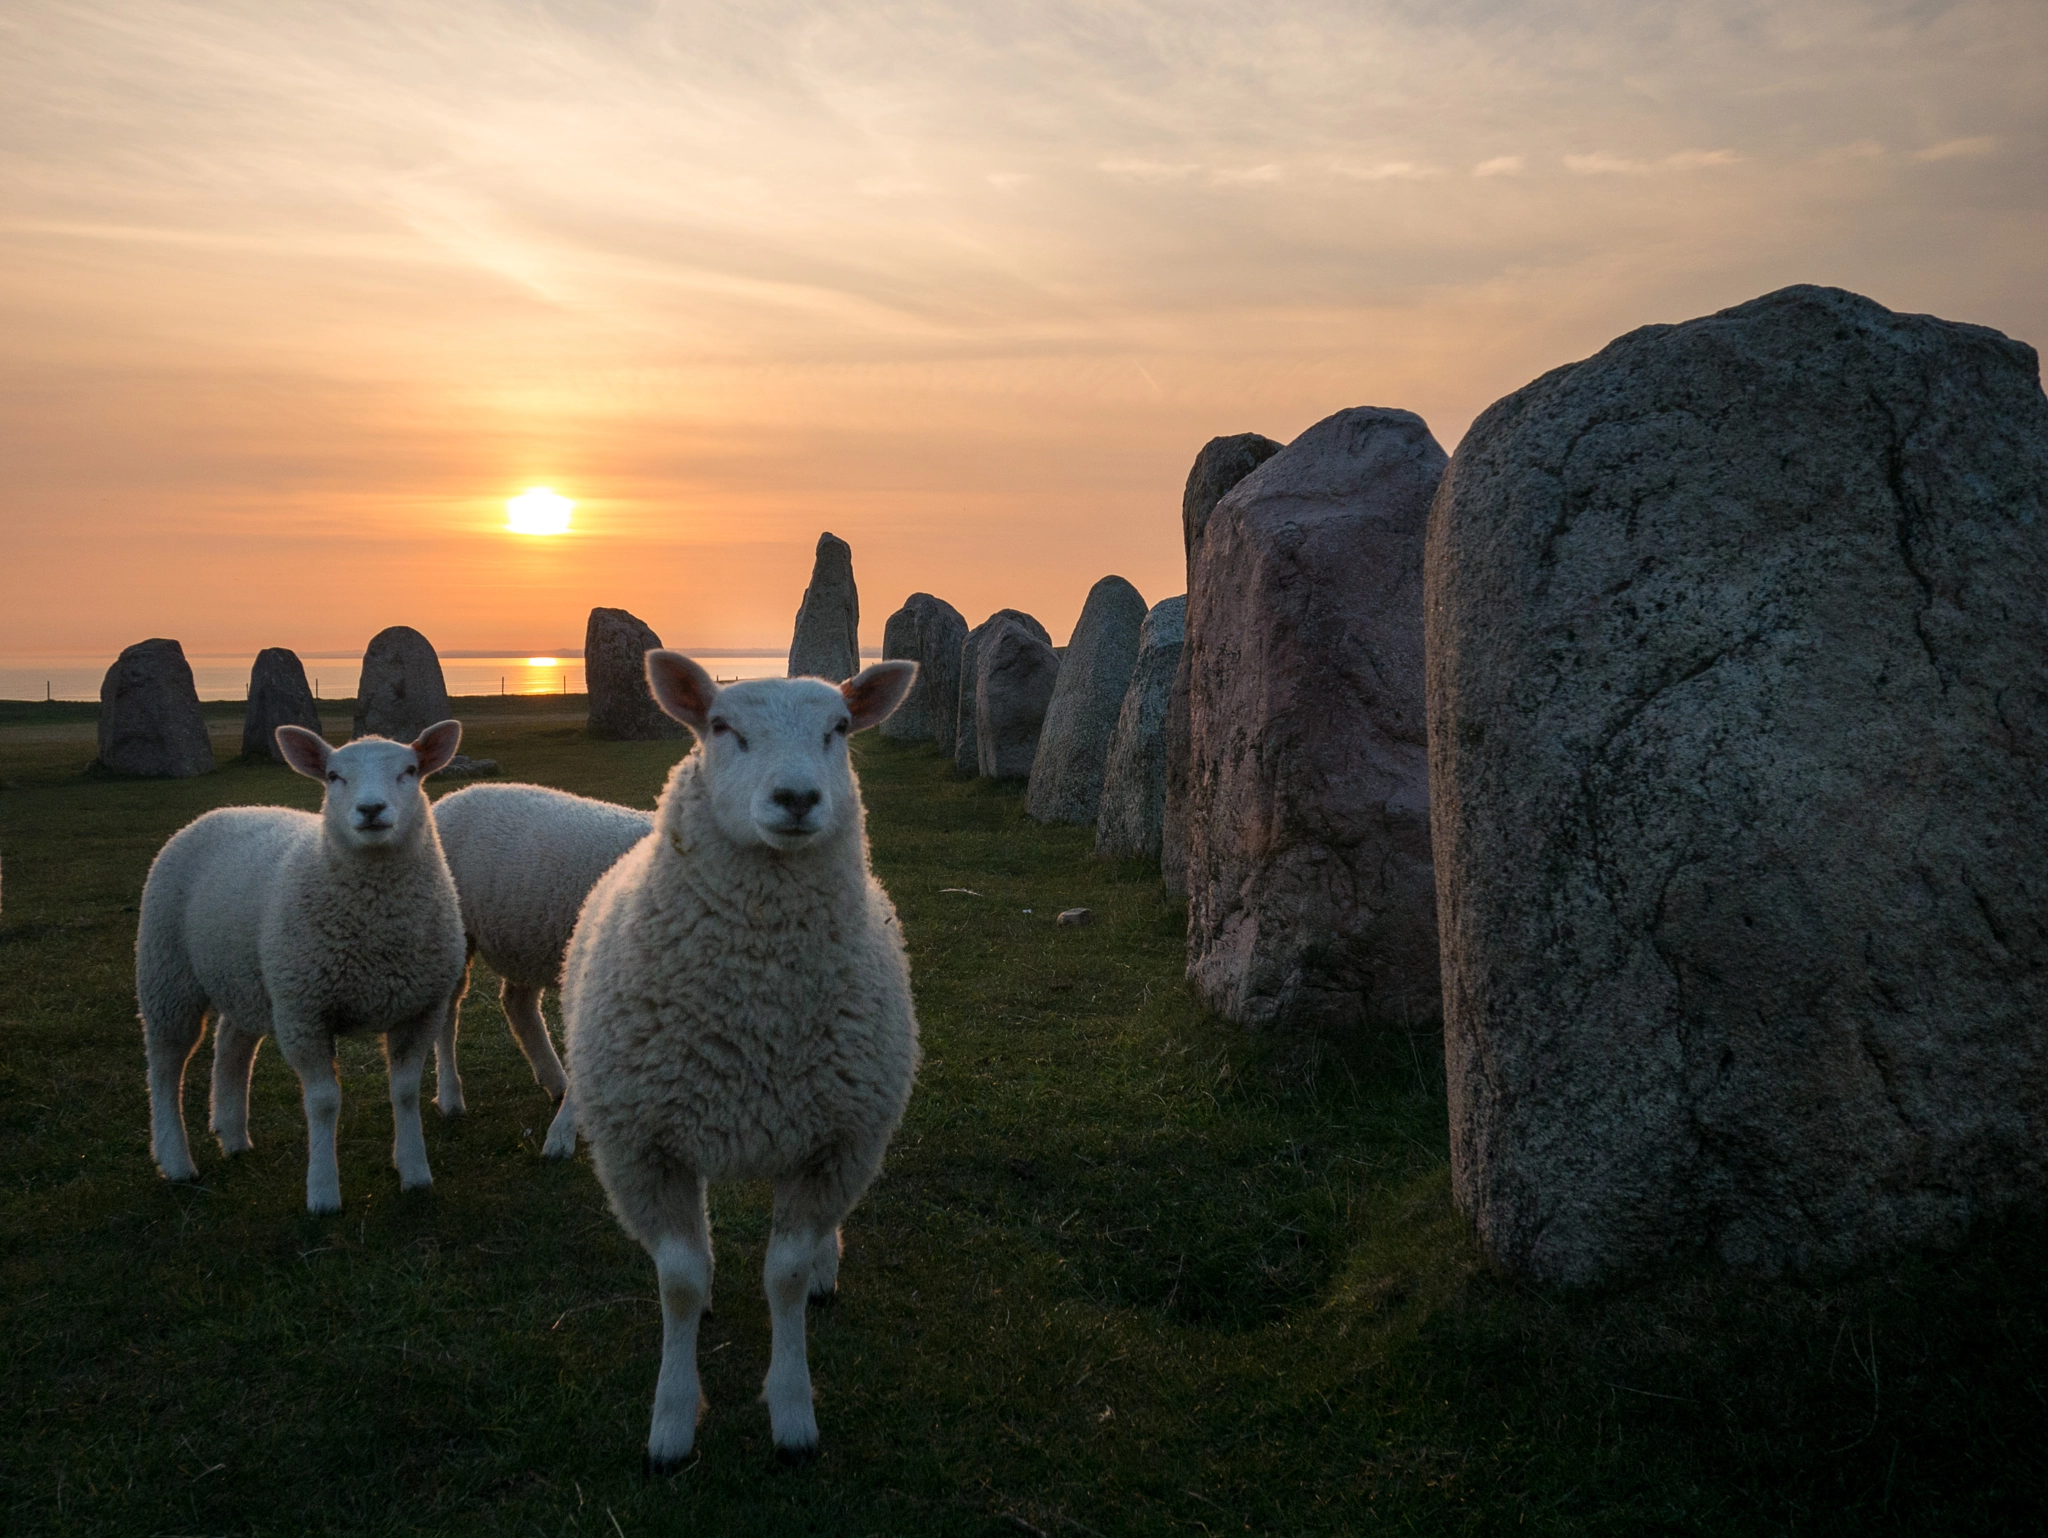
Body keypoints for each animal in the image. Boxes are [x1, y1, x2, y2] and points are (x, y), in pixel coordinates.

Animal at [140, 720, 468, 1212]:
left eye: (410, 770)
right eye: (333, 776)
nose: (371, 809)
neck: (377, 929)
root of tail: (221, 811)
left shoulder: (420, 1009)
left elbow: (405, 1092)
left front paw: (414, 1172)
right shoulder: (304, 1012)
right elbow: (323, 1103)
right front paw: (324, 1192)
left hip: (248, 977)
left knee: (232, 1044)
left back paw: (232, 1134)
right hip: (167, 973)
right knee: (165, 1064)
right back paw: (176, 1160)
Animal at [430, 786, 647, 1114]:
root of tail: (450, 797)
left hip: (527, 941)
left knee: (517, 1004)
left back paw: (555, 1081)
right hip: (455, 930)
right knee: (448, 1009)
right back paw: (450, 1096)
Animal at [548, 651, 925, 1466]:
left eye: (839, 727)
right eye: (722, 727)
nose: (797, 798)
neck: (754, 1018)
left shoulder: (831, 1145)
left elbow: (783, 1277)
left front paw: (792, 1413)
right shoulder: (647, 1148)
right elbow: (681, 1282)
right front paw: (671, 1419)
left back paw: (825, 1270)